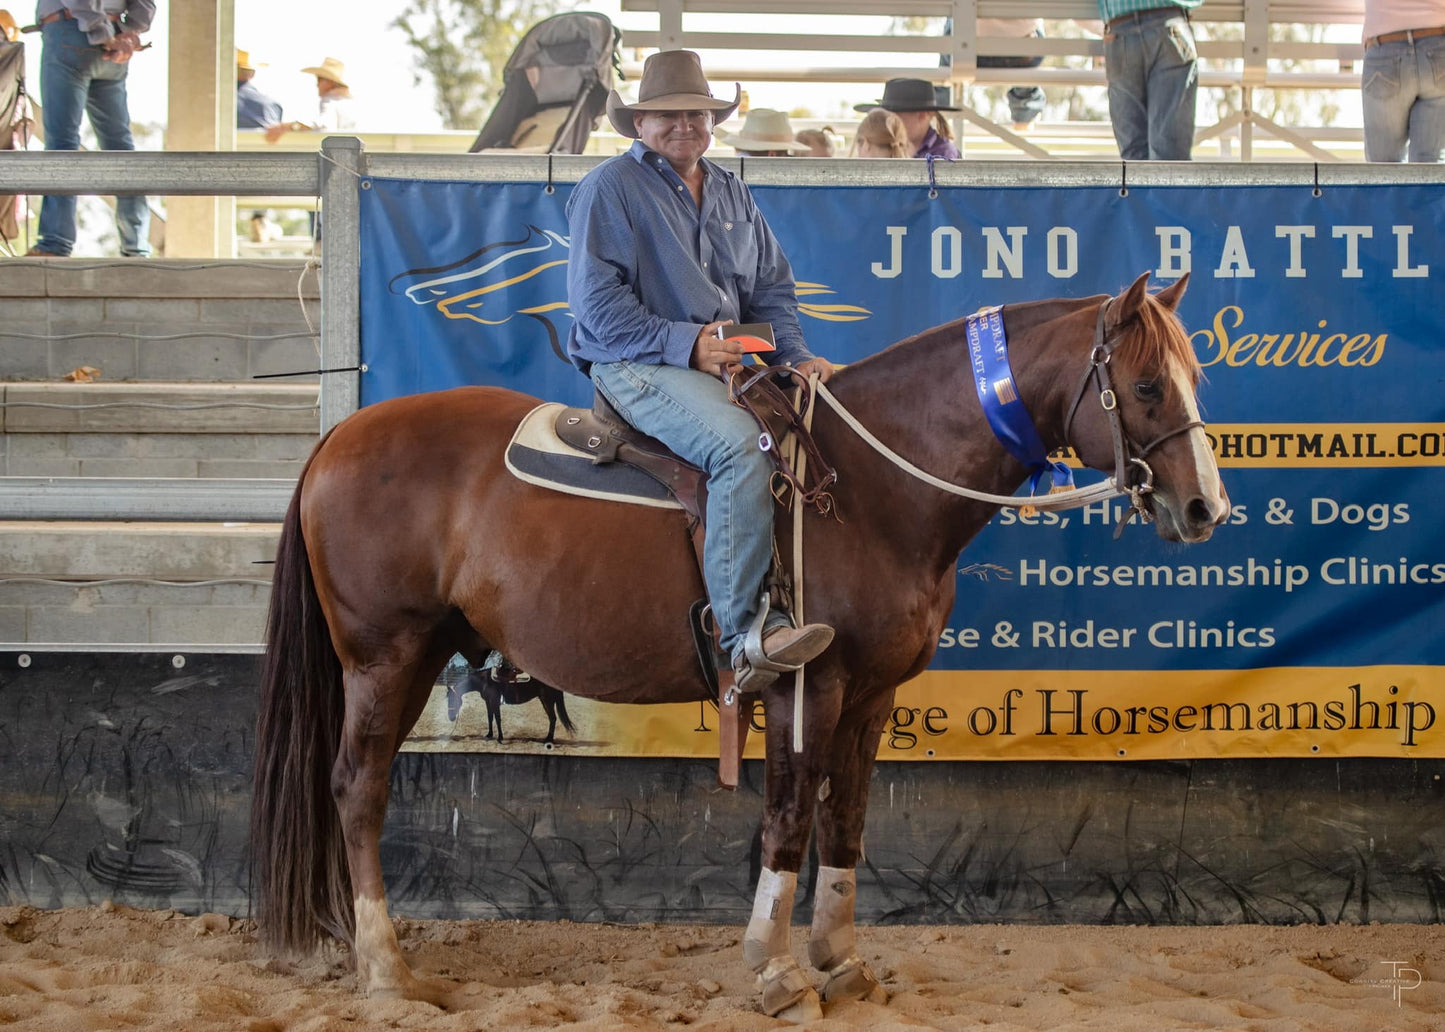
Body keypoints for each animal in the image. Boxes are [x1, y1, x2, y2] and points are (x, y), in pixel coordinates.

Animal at [254, 268, 1225, 1017]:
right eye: (1145, 386)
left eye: (1193, 379)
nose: (1204, 508)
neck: (870, 485)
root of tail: (339, 435)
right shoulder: (807, 686)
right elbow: (789, 817)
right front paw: (777, 971)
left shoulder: (873, 695)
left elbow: (847, 817)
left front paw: (841, 962)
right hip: (385, 655)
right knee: (357, 787)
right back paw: (387, 971)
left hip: (420, 652)